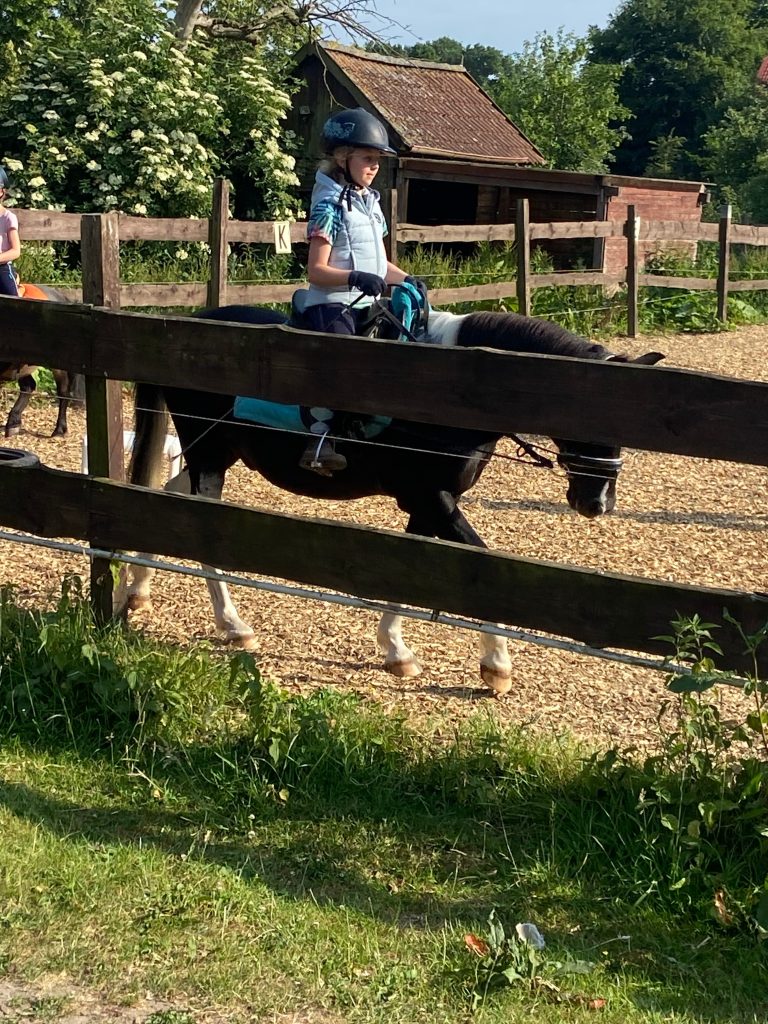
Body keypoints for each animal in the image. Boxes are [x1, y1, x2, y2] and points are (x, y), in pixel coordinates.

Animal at [0, 282, 83, 438]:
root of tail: (62, 297)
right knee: (29, 386)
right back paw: (13, 424)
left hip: (58, 365)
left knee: (63, 391)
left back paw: (59, 430)